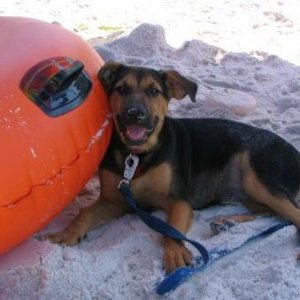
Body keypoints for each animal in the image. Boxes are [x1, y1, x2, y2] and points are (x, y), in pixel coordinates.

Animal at [47, 62, 300, 274]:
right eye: (121, 89)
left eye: (154, 91)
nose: (135, 114)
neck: (137, 156)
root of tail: (295, 153)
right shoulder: (115, 200)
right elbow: (85, 212)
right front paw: (67, 233)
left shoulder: (179, 200)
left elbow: (171, 231)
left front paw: (175, 252)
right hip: (251, 190)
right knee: (270, 212)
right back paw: (227, 222)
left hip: (257, 173)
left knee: (292, 214)